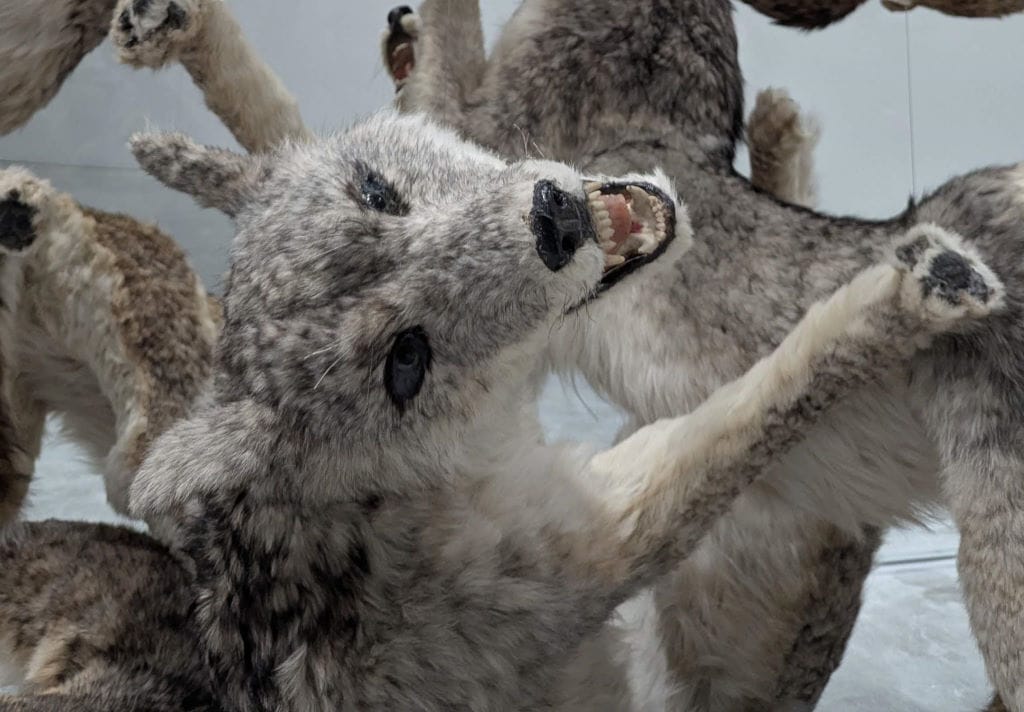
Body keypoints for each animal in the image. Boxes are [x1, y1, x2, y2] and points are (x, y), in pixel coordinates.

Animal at [1, 109, 1000, 709]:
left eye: (378, 191)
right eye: (406, 361)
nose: (554, 220)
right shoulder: (625, 536)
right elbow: (763, 394)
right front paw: (916, 291)